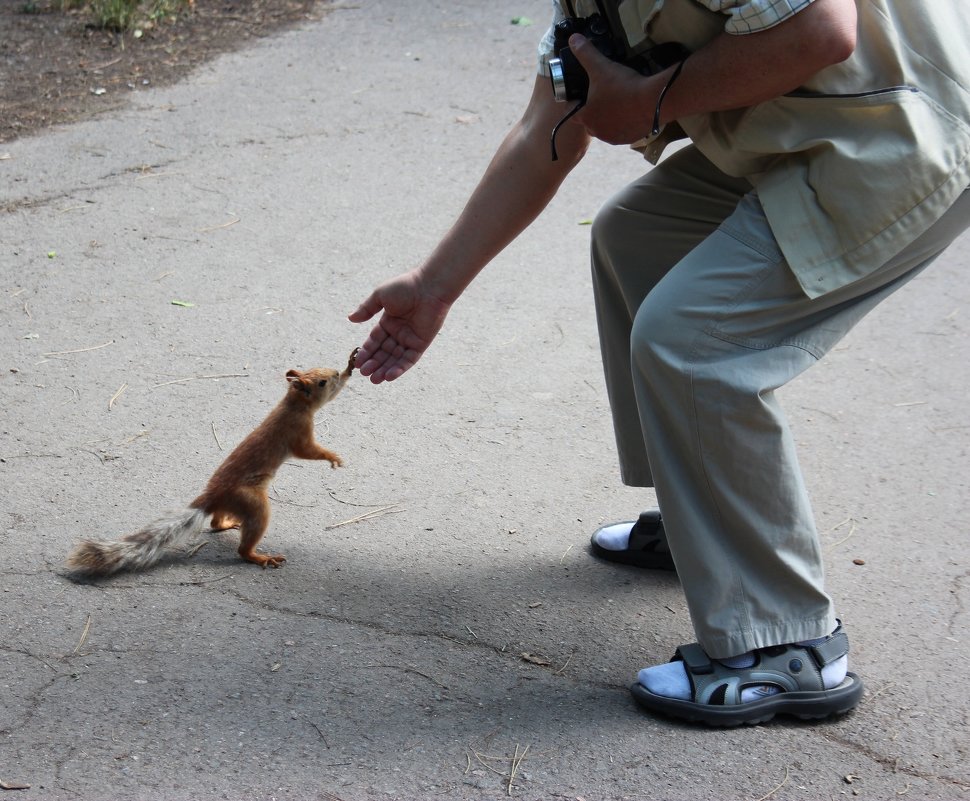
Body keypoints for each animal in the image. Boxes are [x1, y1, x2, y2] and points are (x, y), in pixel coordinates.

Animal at [67, 346, 360, 576]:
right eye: (321, 382)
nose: (335, 374)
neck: (293, 404)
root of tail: (212, 496)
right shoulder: (297, 432)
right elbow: (308, 451)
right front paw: (332, 457)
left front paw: (350, 365)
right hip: (252, 501)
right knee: (243, 546)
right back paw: (259, 557)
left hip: (234, 504)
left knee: (215, 522)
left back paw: (228, 524)